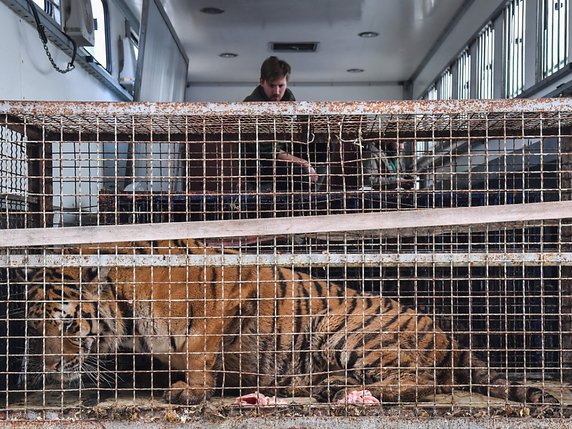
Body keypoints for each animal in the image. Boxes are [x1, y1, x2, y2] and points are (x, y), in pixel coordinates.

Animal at [19, 239, 560, 406]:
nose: (49, 370)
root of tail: (447, 334)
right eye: (36, 330)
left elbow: (197, 347)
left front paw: (190, 391)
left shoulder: (237, 286)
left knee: (421, 381)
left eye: (66, 327)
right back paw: (318, 386)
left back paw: (341, 390)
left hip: (343, 328)